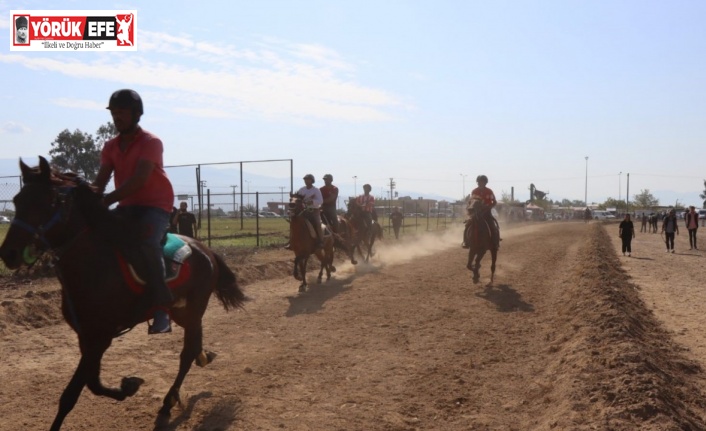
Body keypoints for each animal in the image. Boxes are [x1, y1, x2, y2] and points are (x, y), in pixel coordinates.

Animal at [0, 157, 245, 430]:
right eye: (18, 200)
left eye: (48, 201)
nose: (9, 253)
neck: (93, 264)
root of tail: (206, 250)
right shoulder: (86, 337)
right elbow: (93, 384)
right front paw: (128, 386)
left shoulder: (100, 337)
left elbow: (72, 394)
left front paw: (129, 386)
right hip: (183, 312)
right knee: (195, 346)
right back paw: (202, 359)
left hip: (192, 310)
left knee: (186, 354)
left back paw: (168, 402)